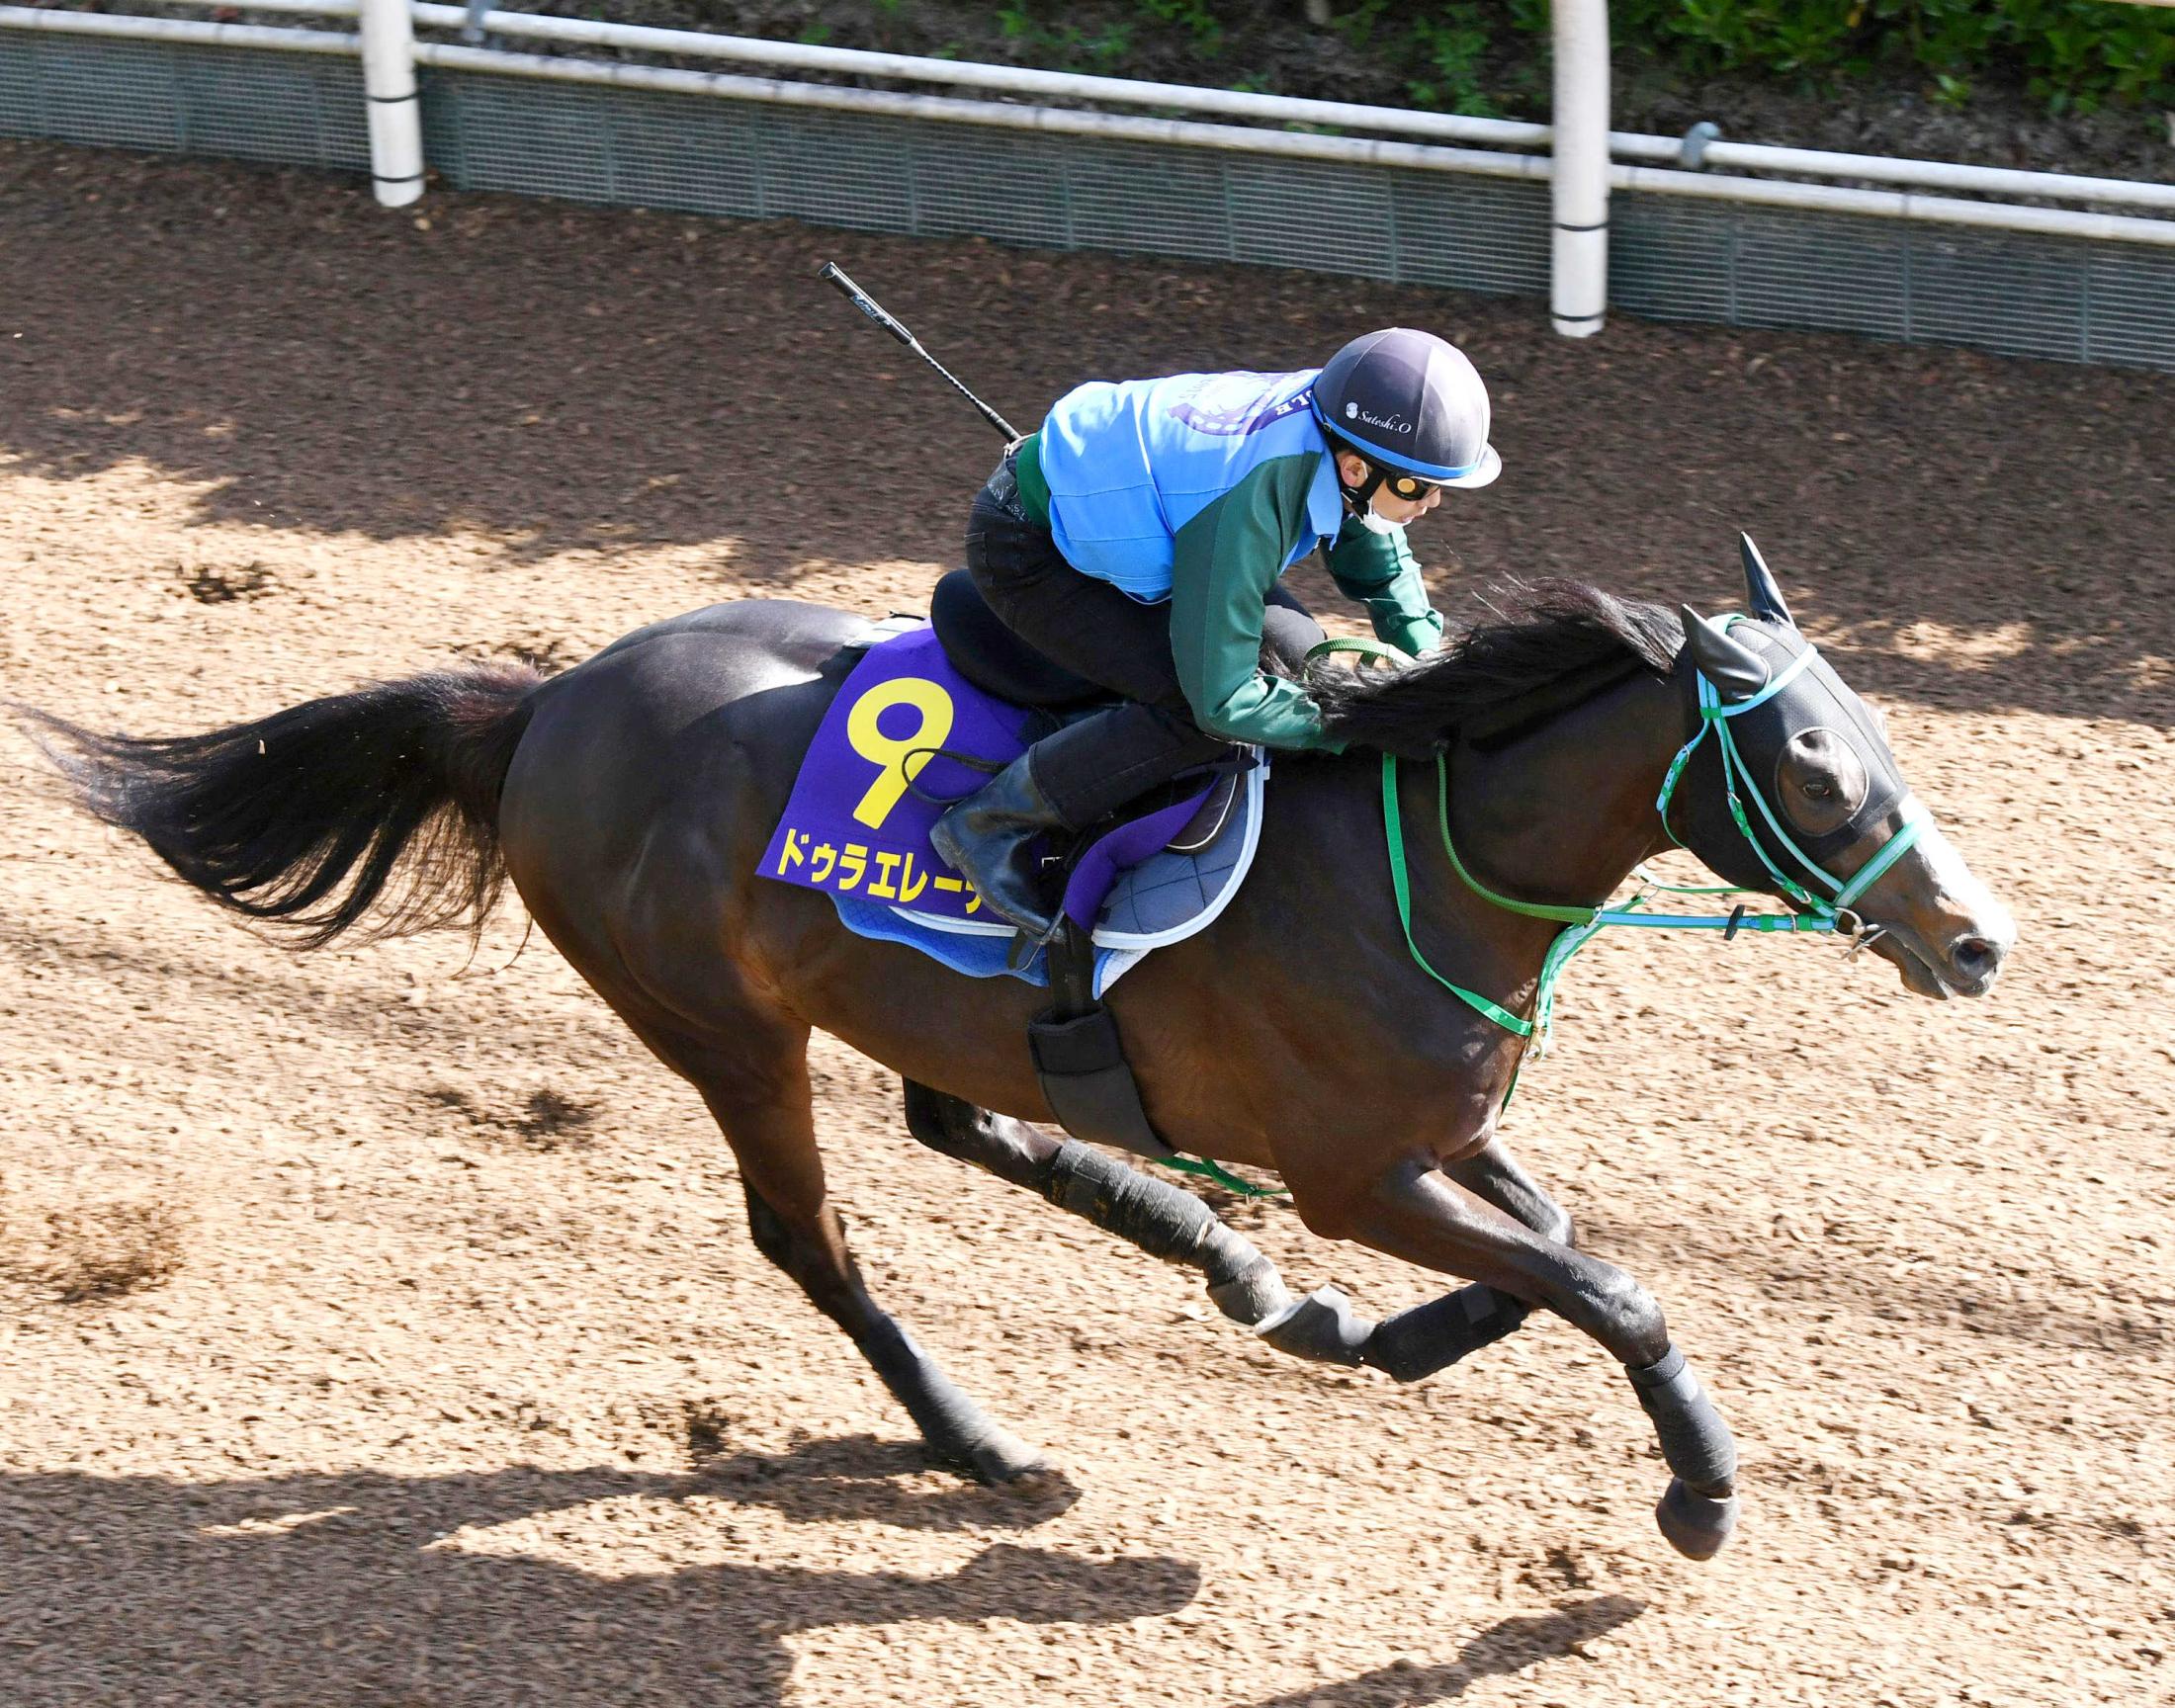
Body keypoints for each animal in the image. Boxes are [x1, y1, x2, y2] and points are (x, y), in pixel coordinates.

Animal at [21, 560, 2018, 1558]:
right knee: (813, 1236)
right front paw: (1698, 1491)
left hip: (917, 999)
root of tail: (544, 702)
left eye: (1876, 729)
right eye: (1814, 765)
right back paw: (981, 1437)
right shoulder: (1359, 1170)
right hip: (721, 1025)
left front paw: (1380, 1329)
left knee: (979, 1122)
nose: (1979, 937)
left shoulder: (1440, 1132)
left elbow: (1565, 1259)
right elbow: (1610, 1289)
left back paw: (1225, 1268)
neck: (1419, 858)